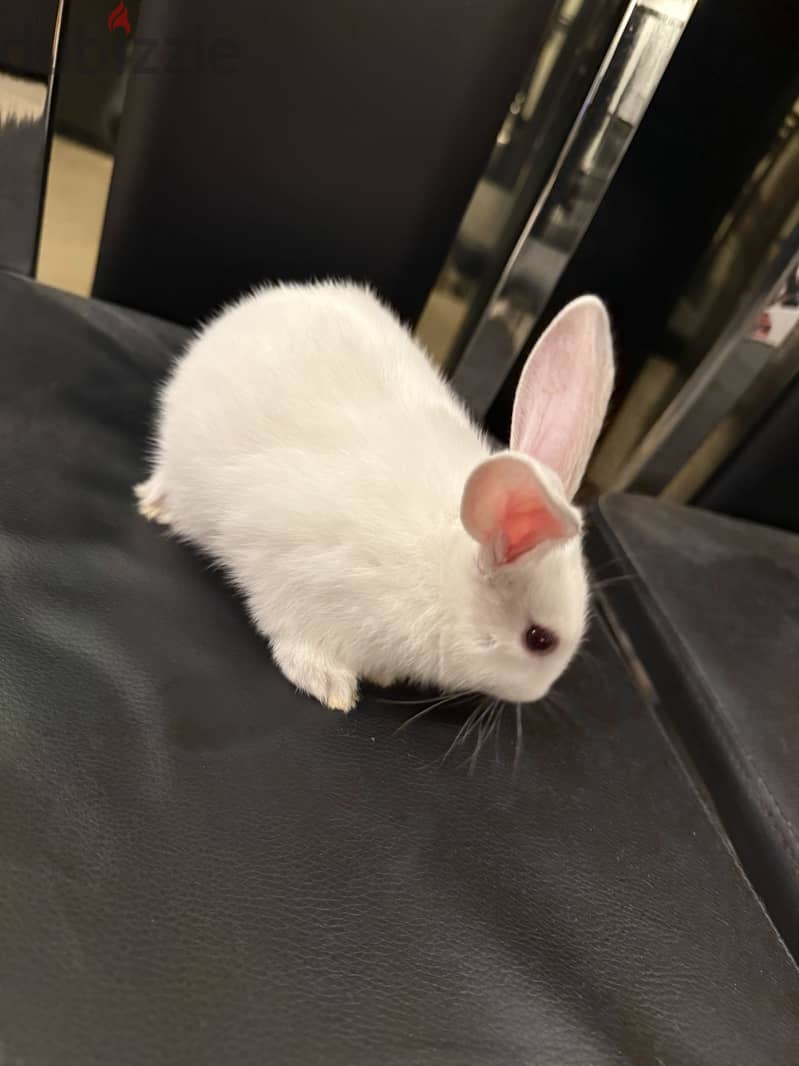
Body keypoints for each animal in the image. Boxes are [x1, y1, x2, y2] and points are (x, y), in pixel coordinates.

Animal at [136, 281, 614, 712]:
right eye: (539, 639)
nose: (538, 694)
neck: (443, 572)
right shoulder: (297, 581)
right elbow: (293, 635)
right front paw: (330, 686)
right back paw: (157, 505)